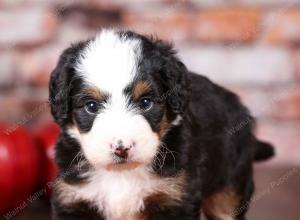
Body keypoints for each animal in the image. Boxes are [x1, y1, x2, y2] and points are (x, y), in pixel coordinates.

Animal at [48, 29, 274, 220]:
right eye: (91, 106)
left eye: (145, 103)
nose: (122, 149)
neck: (122, 175)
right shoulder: (74, 197)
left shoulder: (174, 198)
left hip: (230, 186)